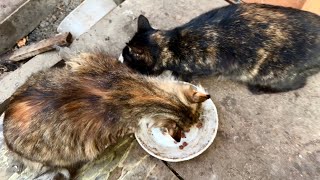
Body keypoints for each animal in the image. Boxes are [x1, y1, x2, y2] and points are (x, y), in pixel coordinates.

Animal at [122, 3, 320, 94]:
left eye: (127, 58)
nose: (121, 57)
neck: (171, 43)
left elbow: (185, 77)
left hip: (268, 72)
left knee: (298, 83)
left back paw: (258, 88)